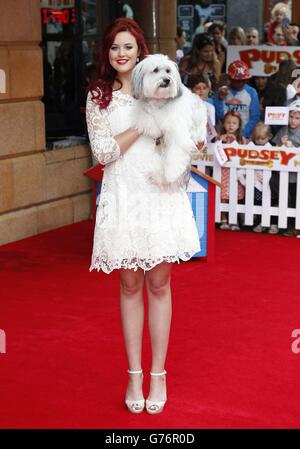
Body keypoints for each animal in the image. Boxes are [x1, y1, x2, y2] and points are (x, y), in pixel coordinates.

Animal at [131, 53, 206, 186]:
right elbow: (146, 120)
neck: (158, 101)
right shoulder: (142, 112)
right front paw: (153, 128)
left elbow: (176, 152)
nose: (167, 80)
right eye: (155, 70)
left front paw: (172, 173)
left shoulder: (177, 130)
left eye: (168, 71)